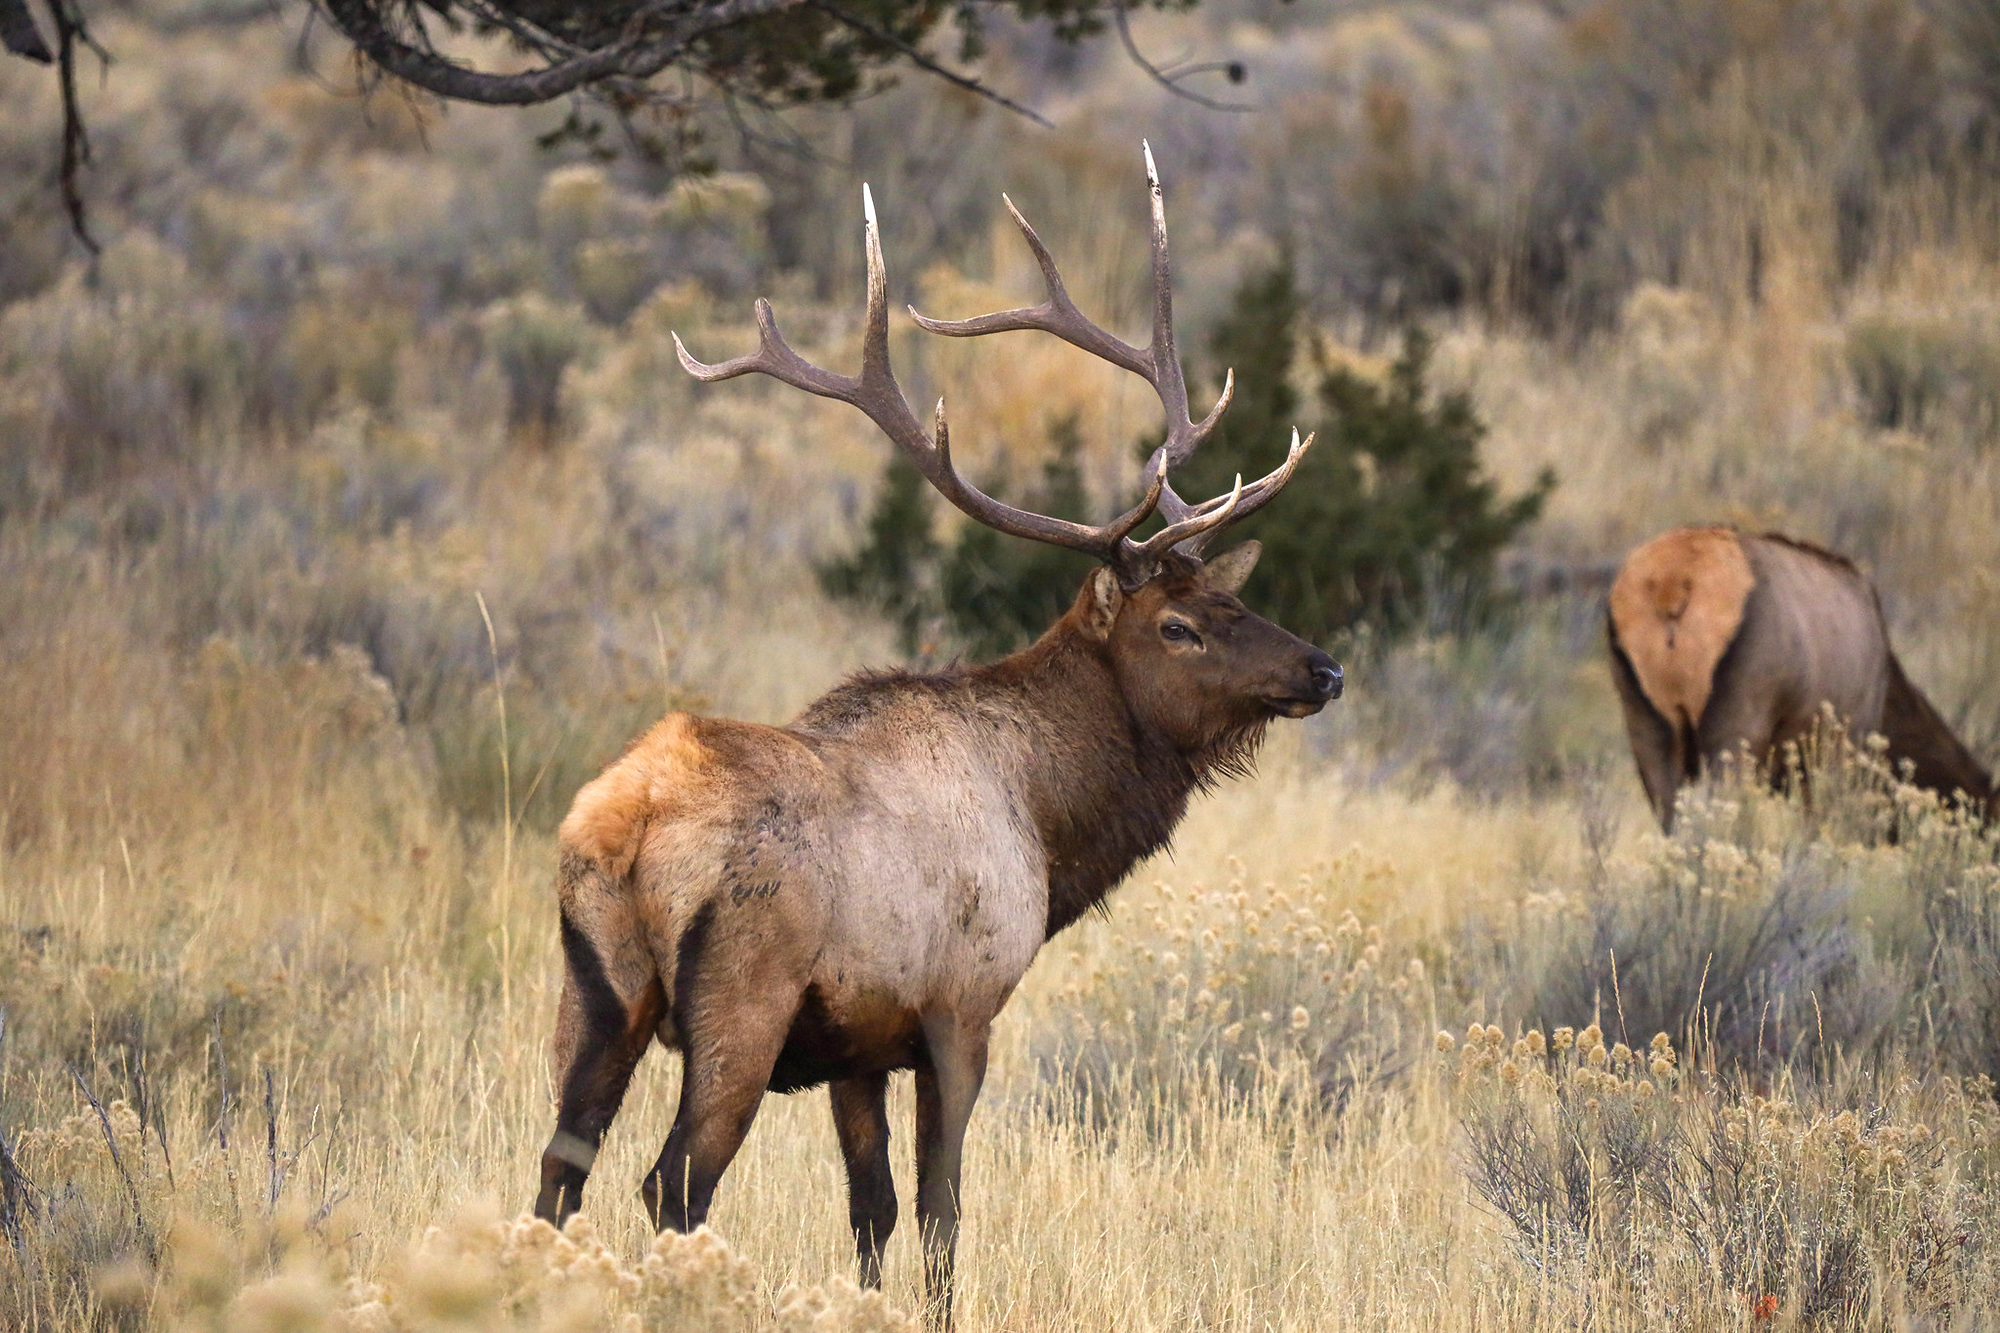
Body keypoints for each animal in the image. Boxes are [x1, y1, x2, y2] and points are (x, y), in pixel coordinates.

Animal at [532, 140, 1344, 1320]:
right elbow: (940, 1212)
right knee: (670, 1182)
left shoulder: (858, 1046)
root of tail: (626, 823)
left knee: (560, 1168)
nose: (1324, 669)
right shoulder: (960, 1007)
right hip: (741, 995)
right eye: (1180, 624)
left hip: (593, 991)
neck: (1048, 825)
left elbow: (868, 1211)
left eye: (1233, 597)